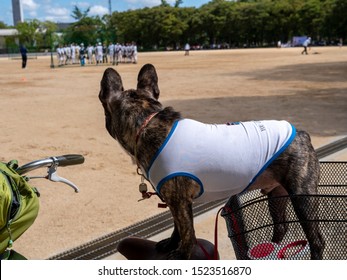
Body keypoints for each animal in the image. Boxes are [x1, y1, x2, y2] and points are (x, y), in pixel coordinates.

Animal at [98, 64, 326, 260]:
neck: (146, 122)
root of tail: (302, 134)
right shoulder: (176, 201)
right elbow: (177, 227)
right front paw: (171, 244)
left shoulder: (179, 201)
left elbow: (187, 233)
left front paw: (181, 254)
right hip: (277, 193)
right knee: (280, 227)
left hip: (302, 196)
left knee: (316, 240)